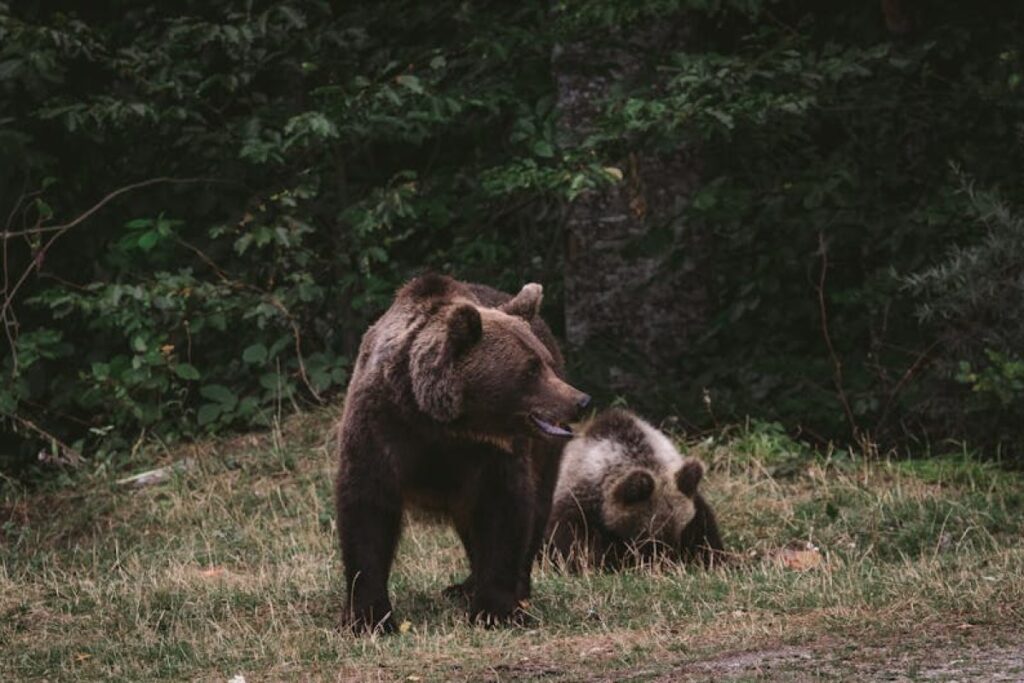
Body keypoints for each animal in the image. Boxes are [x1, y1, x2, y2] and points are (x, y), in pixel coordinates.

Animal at [333, 273, 590, 633]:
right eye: (530, 369)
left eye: (547, 363)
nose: (580, 401)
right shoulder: (381, 429)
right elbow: (366, 512)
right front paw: (368, 617)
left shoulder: (491, 455)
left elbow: (504, 513)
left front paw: (496, 609)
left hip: (543, 455)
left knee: (536, 508)